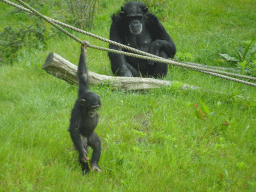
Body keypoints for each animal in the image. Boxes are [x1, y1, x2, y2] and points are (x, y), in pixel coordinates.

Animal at [69, 43, 102, 174]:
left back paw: (94, 165)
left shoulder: (83, 90)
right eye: (91, 107)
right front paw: (83, 155)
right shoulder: (76, 111)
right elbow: (74, 128)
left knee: (97, 144)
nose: (93, 111)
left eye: (96, 107)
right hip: (82, 139)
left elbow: (83, 74)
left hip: (91, 135)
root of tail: (87, 139)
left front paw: (83, 50)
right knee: (84, 148)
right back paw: (85, 171)